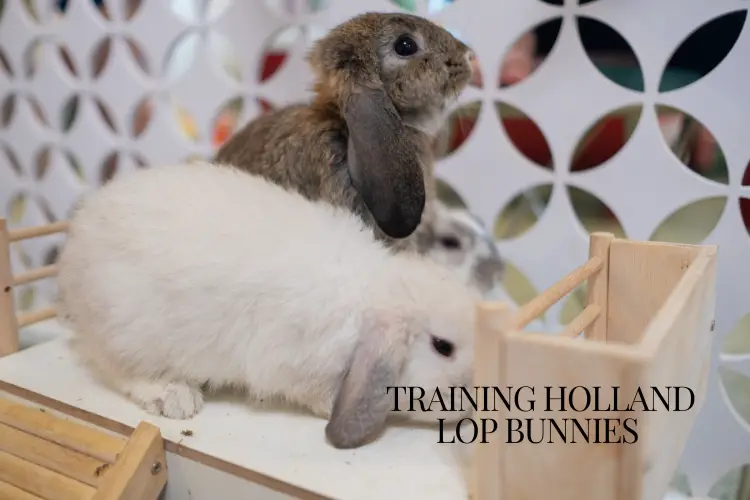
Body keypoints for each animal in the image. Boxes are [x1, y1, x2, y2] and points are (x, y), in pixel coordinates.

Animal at [57, 160, 482, 450]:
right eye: (443, 347)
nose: (474, 400)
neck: (366, 303)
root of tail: (74, 253)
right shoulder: (298, 364)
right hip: (130, 331)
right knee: (117, 369)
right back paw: (177, 397)